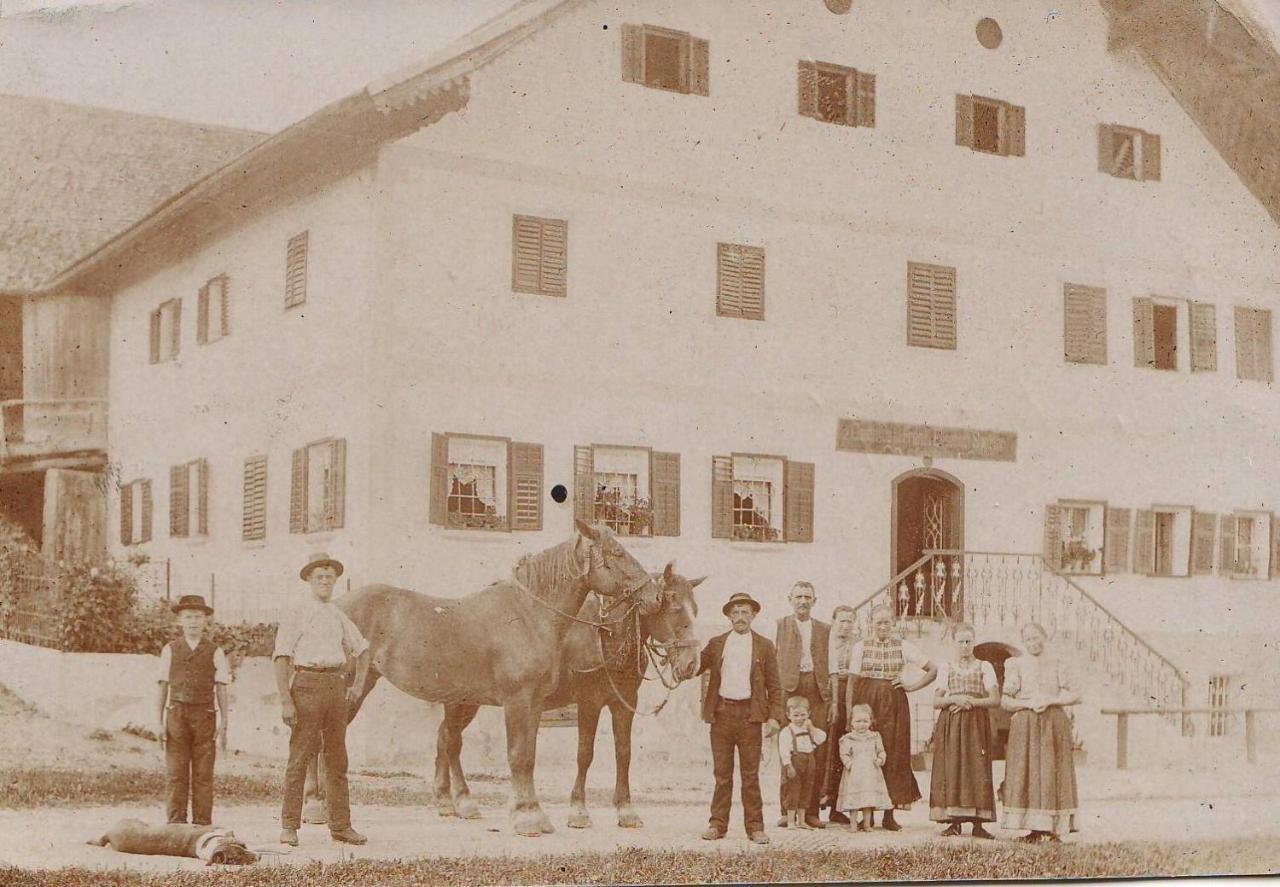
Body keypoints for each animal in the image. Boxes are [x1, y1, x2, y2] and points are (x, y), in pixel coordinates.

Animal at [330, 519, 655, 839]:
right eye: (617, 553)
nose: (653, 596)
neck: (528, 615)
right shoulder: (520, 701)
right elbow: (519, 756)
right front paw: (526, 818)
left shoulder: (534, 703)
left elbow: (529, 755)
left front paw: (533, 813)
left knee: (445, 740)